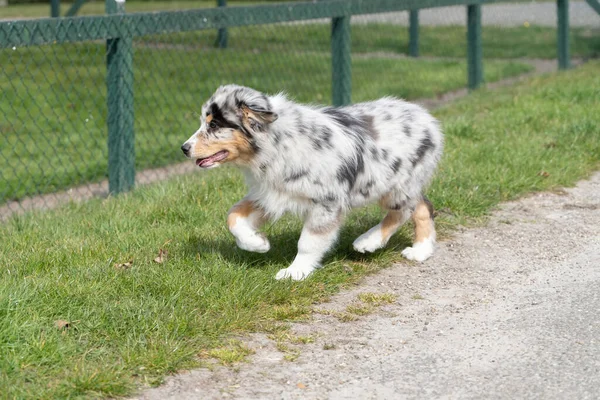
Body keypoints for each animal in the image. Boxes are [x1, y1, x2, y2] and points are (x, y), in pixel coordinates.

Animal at [180, 85, 442, 282]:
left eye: (214, 125)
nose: (184, 148)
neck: (276, 144)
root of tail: (427, 118)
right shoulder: (271, 192)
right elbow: (233, 216)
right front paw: (257, 244)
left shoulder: (326, 203)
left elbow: (308, 241)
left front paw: (295, 271)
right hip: (403, 184)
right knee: (422, 206)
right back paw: (421, 250)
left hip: (395, 185)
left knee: (403, 211)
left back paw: (369, 241)